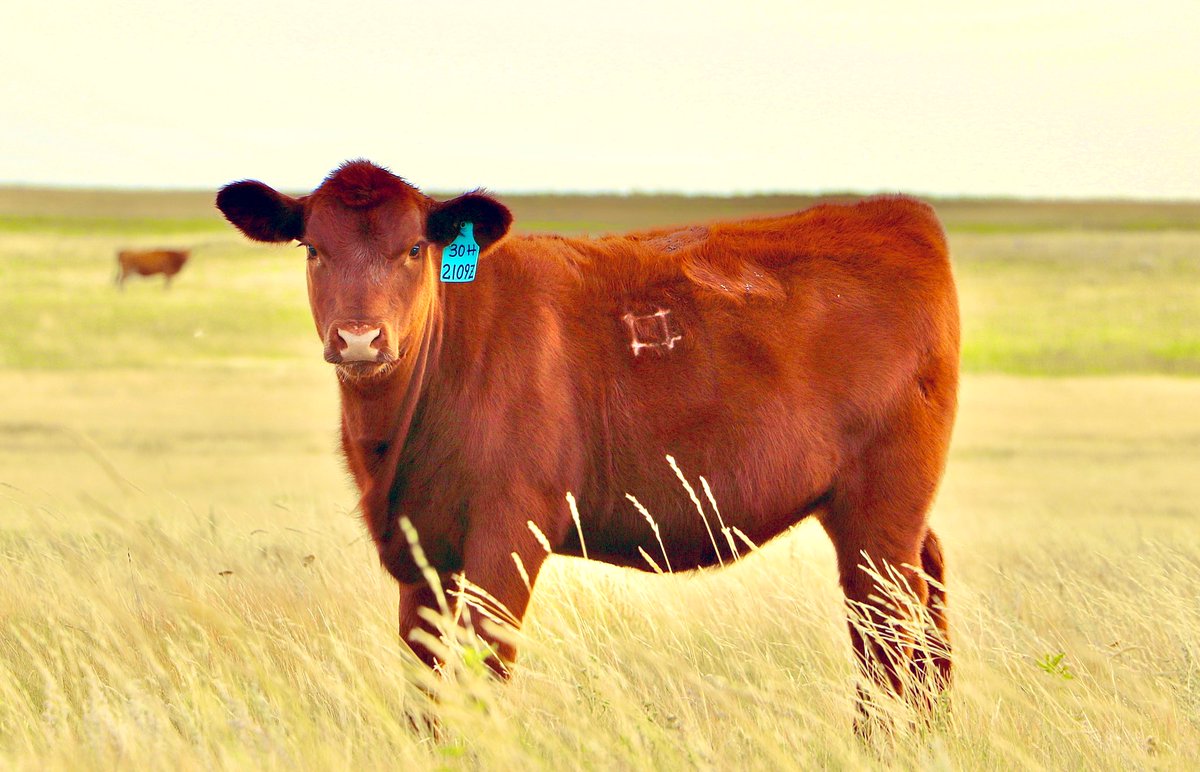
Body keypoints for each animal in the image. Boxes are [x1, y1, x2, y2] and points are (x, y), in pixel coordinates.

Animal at [216, 160, 959, 714]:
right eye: (314, 248)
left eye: (415, 249)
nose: (360, 339)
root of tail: (897, 215)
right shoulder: (418, 553)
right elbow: (424, 689)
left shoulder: (508, 536)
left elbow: (483, 674)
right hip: (888, 516)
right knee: (928, 607)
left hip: (880, 513)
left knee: (886, 641)